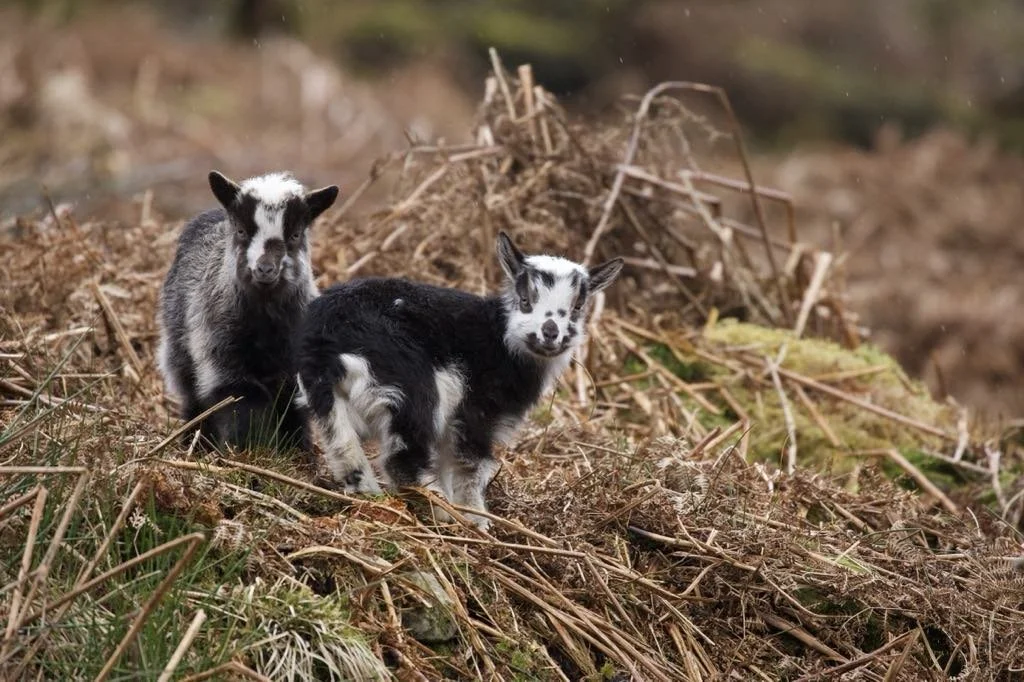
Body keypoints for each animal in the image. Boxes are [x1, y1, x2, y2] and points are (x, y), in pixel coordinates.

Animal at [157, 169, 339, 451]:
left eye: (295, 235)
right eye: (241, 231)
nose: (265, 269)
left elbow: (291, 403)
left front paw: (298, 452)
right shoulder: (221, 355)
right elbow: (242, 400)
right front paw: (244, 452)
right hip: (178, 349)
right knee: (192, 397)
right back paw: (195, 441)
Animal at [296, 231, 623, 528]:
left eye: (578, 307)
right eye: (525, 300)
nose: (550, 333)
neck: (501, 340)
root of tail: (325, 339)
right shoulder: (477, 408)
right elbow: (471, 467)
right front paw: (478, 521)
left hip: (329, 398)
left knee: (345, 451)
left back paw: (373, 500)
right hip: (408, 384)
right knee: (401, 459)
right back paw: (445, 514)